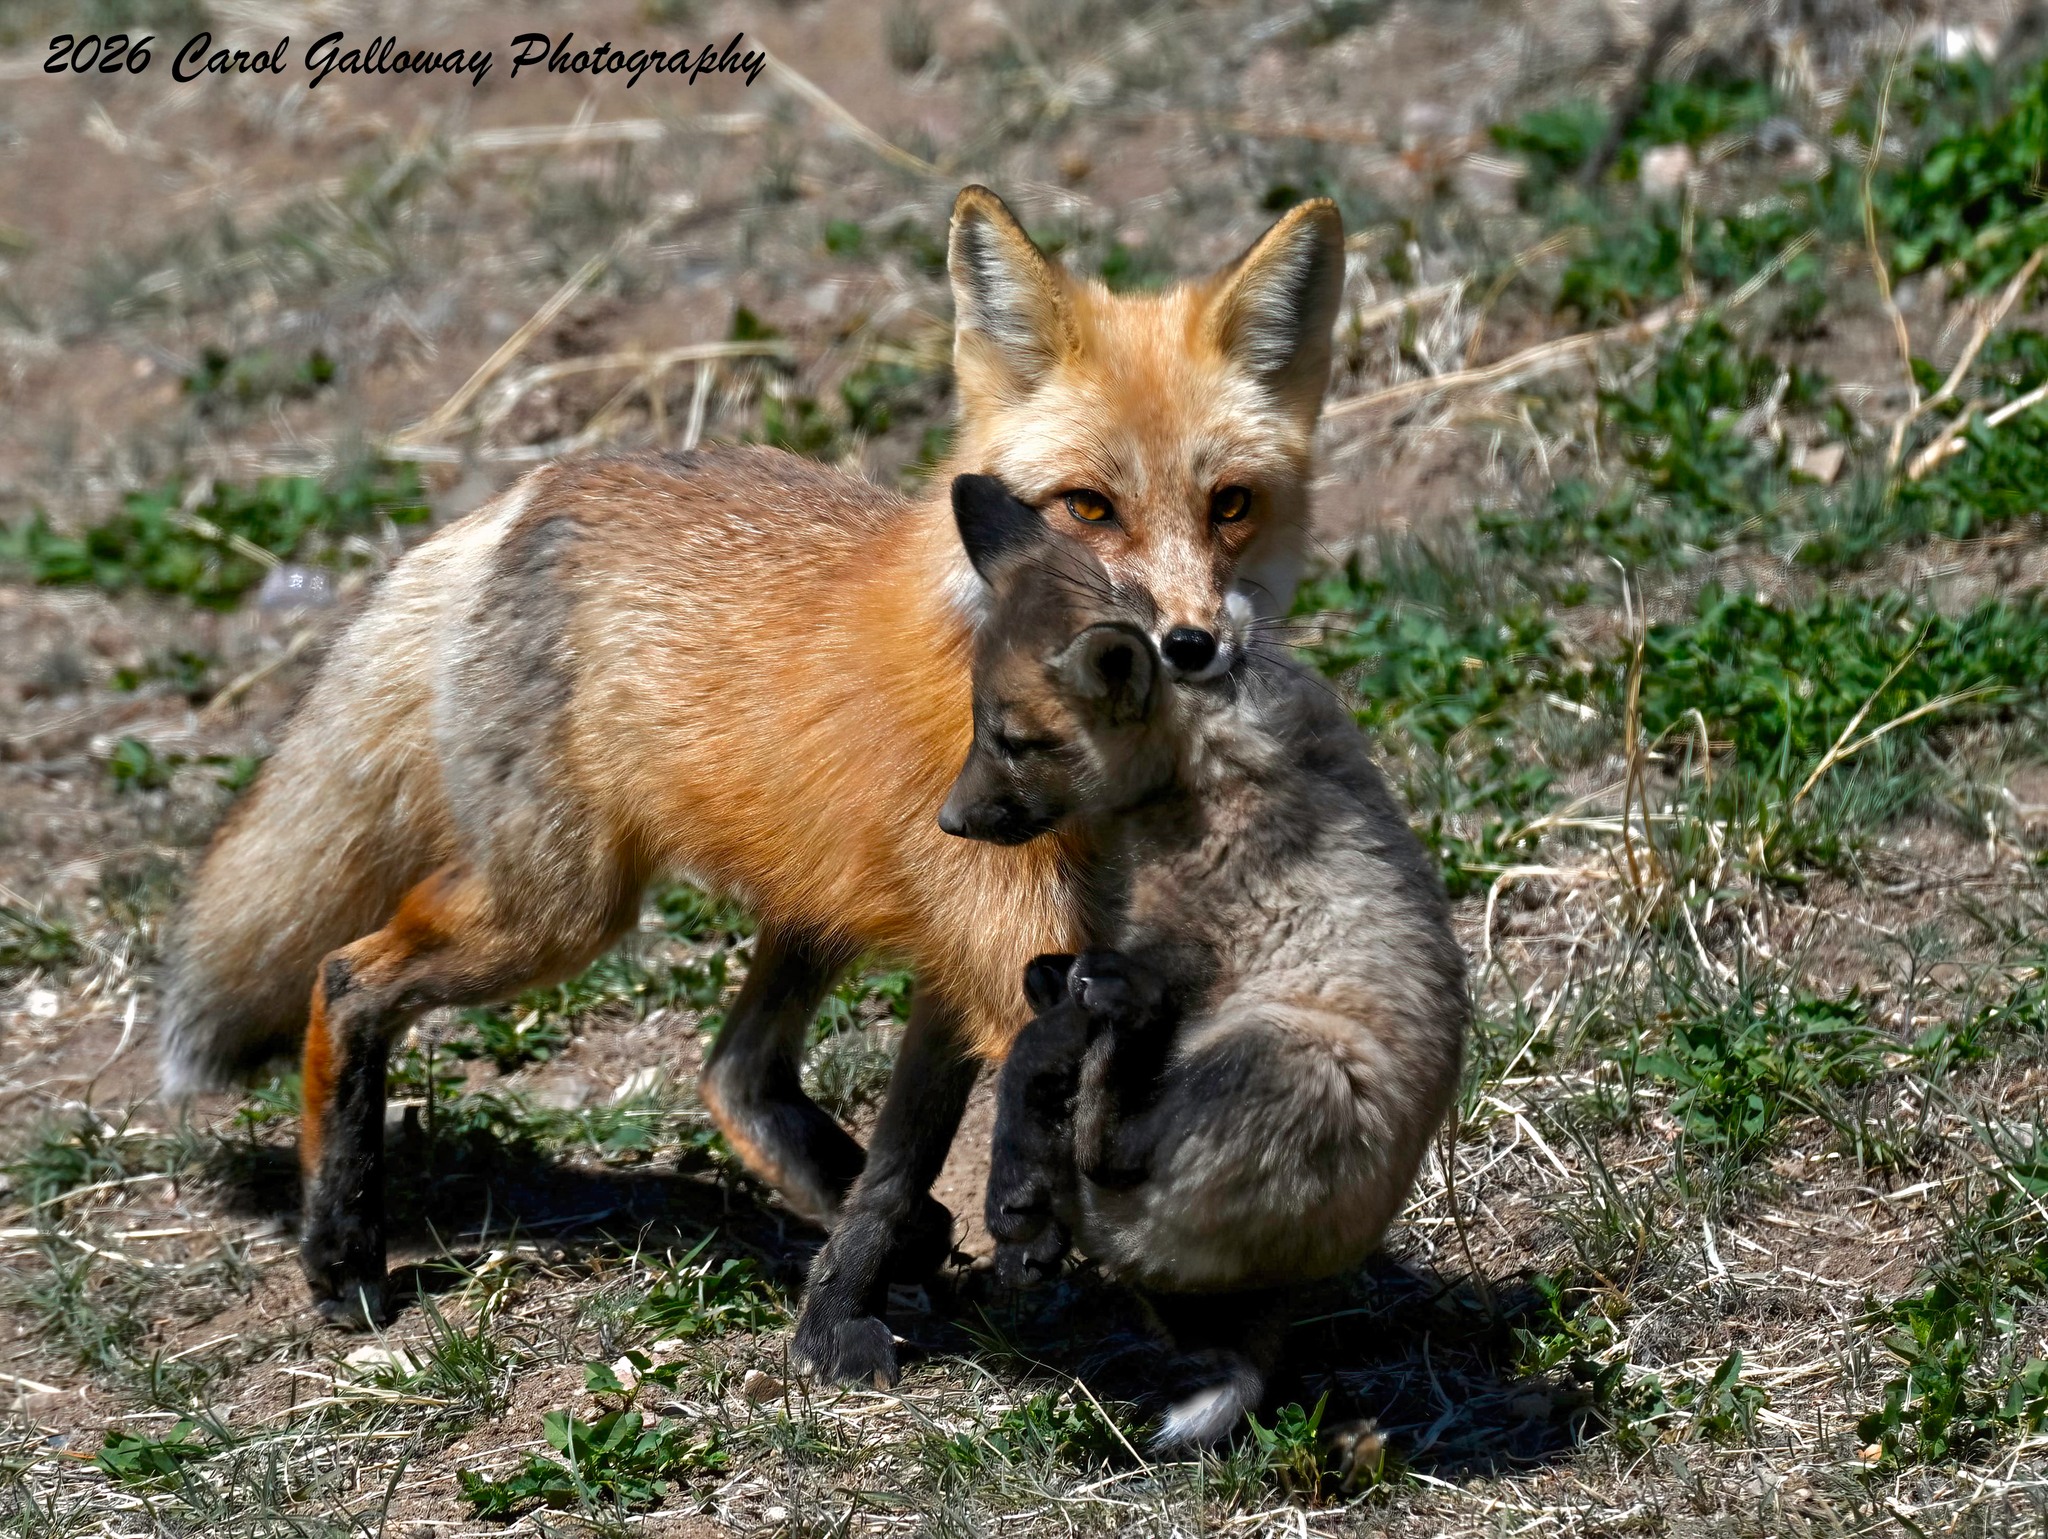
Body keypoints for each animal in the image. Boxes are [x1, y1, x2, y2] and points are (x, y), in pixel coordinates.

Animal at [154, 184, 1347, 1383]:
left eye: (1230, 505)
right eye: (1088, 508)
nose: (1187, 645)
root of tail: (533, 491)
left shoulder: (990, 957)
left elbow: (902, 1163)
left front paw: (833, 1317)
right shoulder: (1010, 944)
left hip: (801, 898)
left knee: (735, 1071)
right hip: (556, 915)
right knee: (347, 978)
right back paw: (341, 1249)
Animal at [937, 475, 1469, 1448]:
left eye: (1017, 741)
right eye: (978, 728)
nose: (950, 822)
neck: (1196, 753)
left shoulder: (1189, 945)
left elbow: (1042, 1040)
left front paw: (1012, 1181)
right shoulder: (1131, 941)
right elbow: (1045, 1008)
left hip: (1285, 1057)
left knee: (1109, 1147)